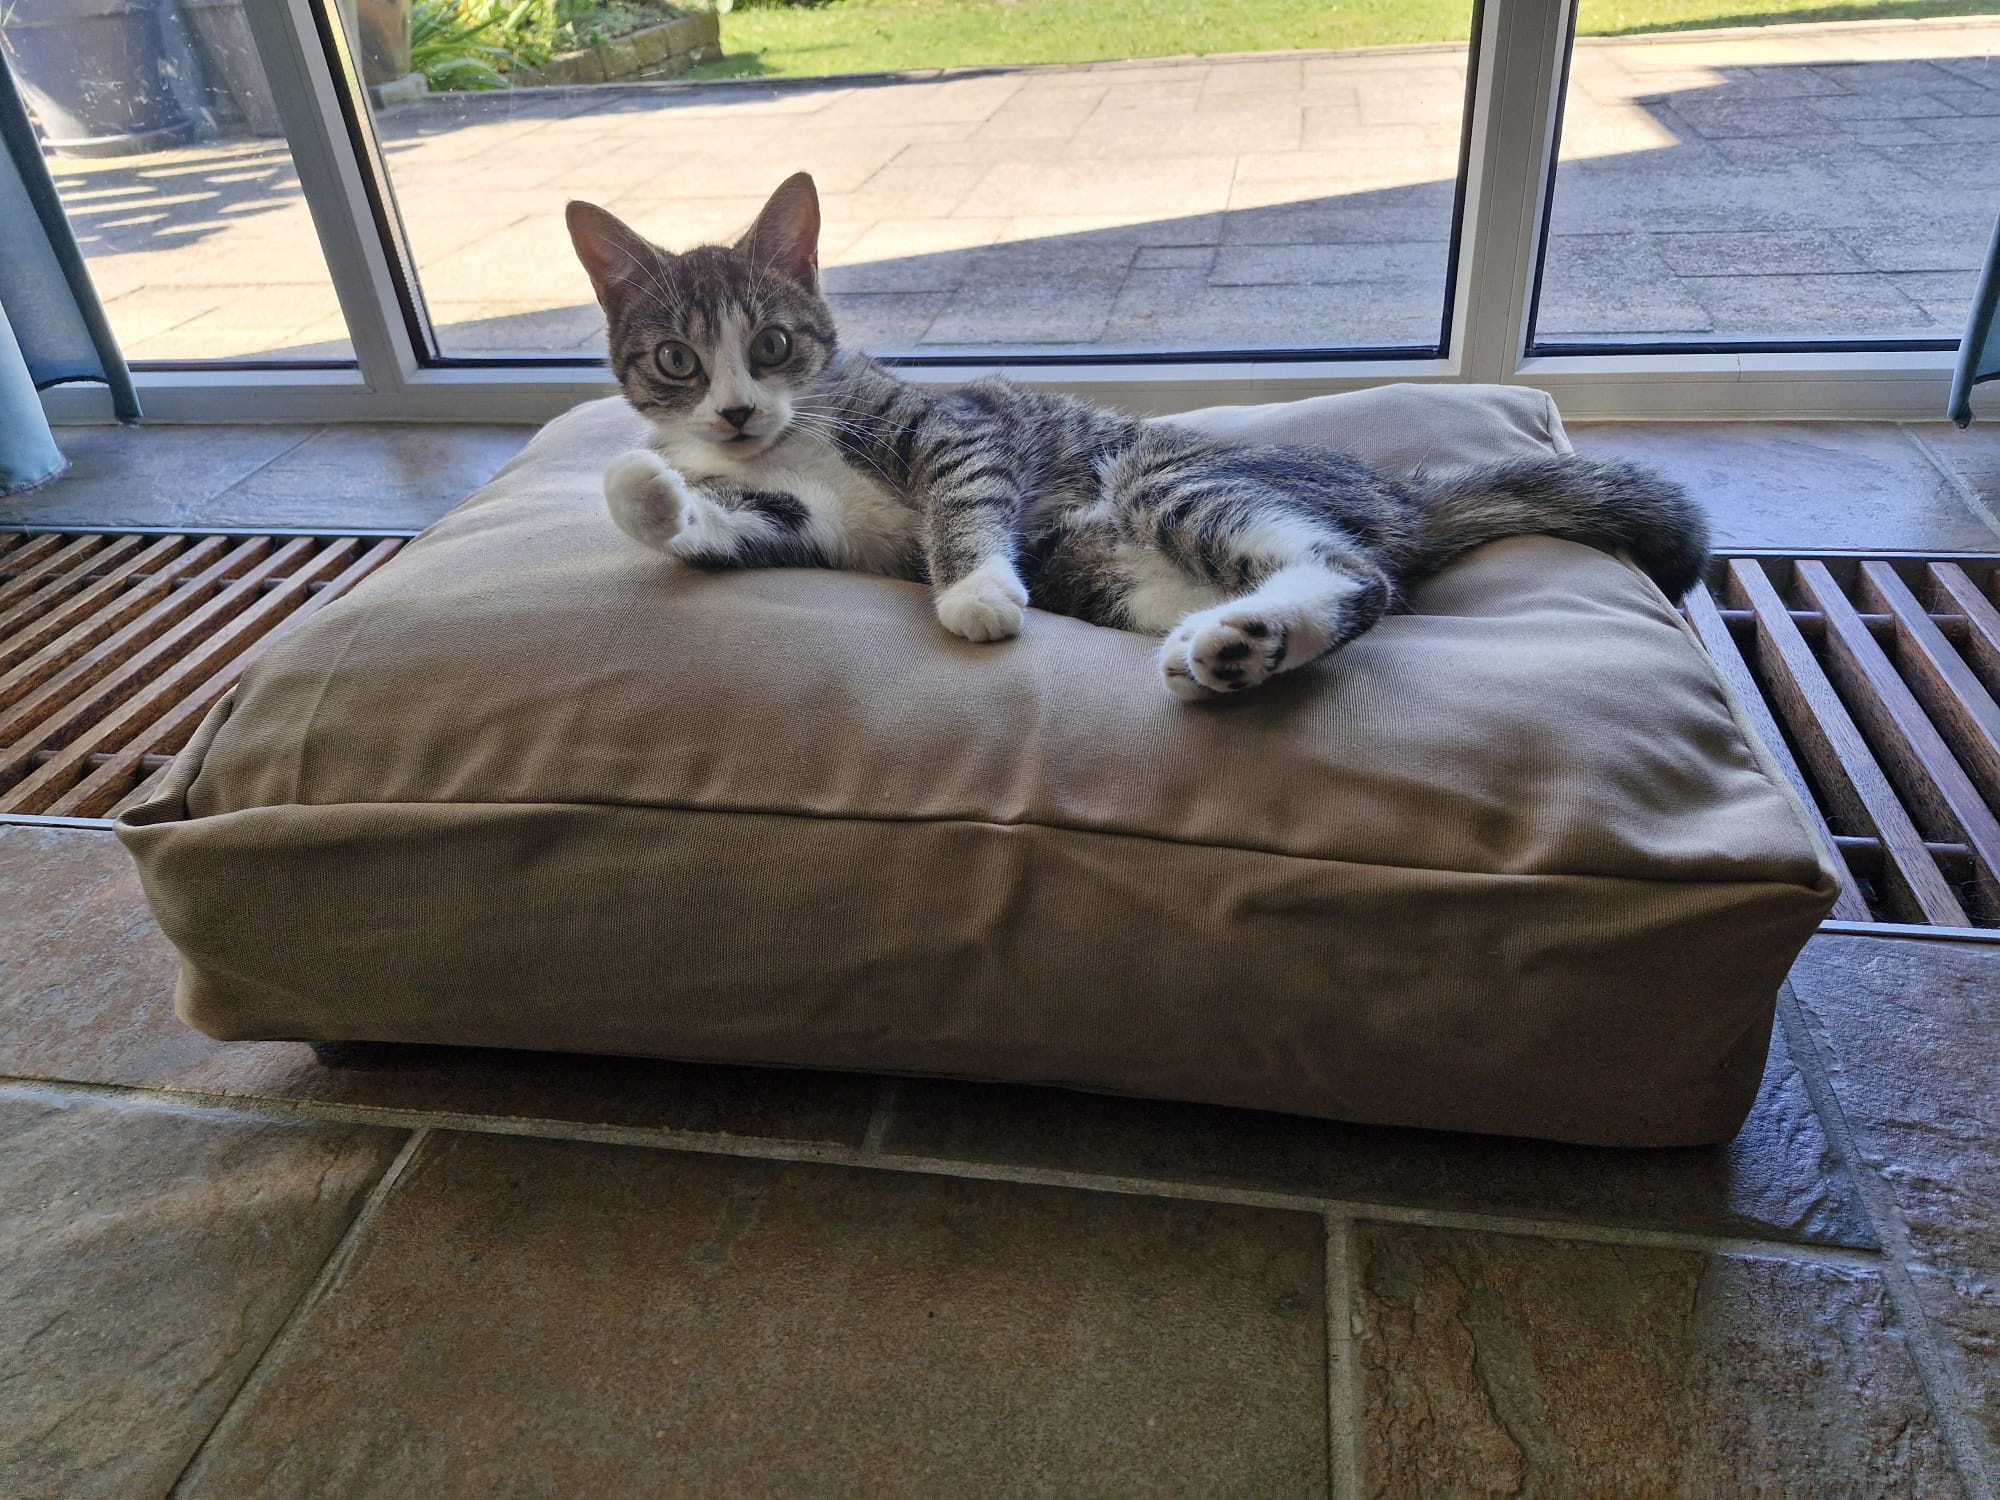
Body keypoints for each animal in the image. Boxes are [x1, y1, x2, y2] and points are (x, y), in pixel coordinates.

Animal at [566, 172, 1707, 700]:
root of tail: (1400, 496)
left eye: (770, 342)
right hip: (1125, 578)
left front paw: (972, 589)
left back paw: (1257, 636)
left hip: (1171, 482)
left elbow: (963, 490)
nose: (736, 411)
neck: (796, 436)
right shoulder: (818, 526)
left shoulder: (957, 422)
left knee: (1355, 573)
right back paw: (1242, 646)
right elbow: (726, 521)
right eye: (676, 359)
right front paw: (649, 488)